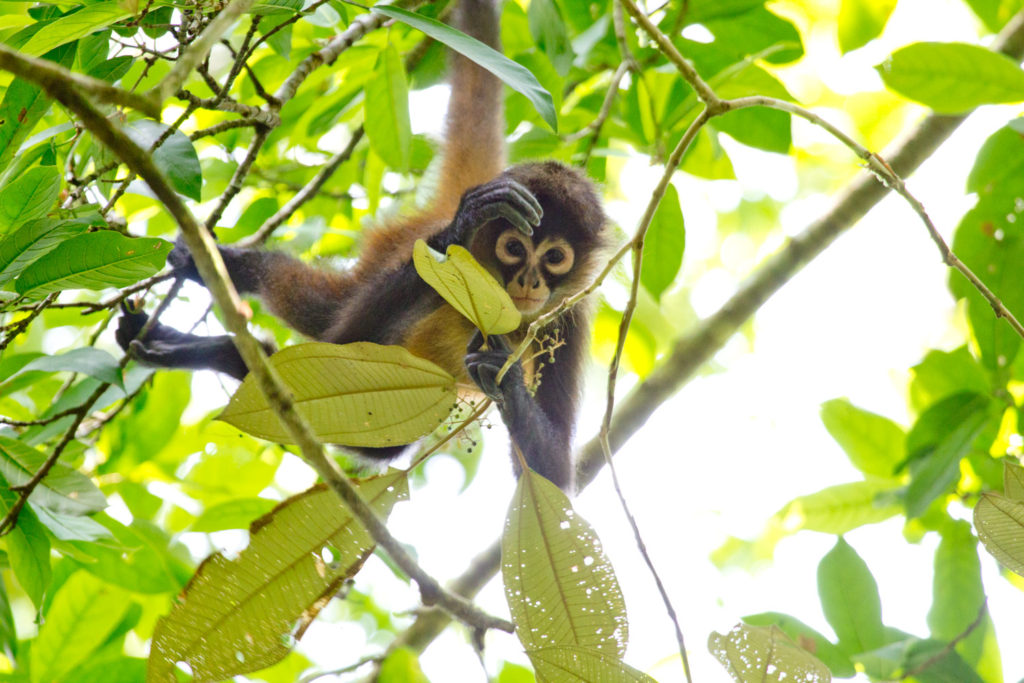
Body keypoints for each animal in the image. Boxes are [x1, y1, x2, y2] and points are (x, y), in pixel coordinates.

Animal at [118, 0, 606, 491]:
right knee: (325, 317)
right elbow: (343, 341)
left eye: (554, 257)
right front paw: (465, 224)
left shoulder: (570, 317)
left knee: (376, 438)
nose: (528, 281)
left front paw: (502, 378)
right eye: (514, 249)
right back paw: (224, 271)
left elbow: (552, 475)